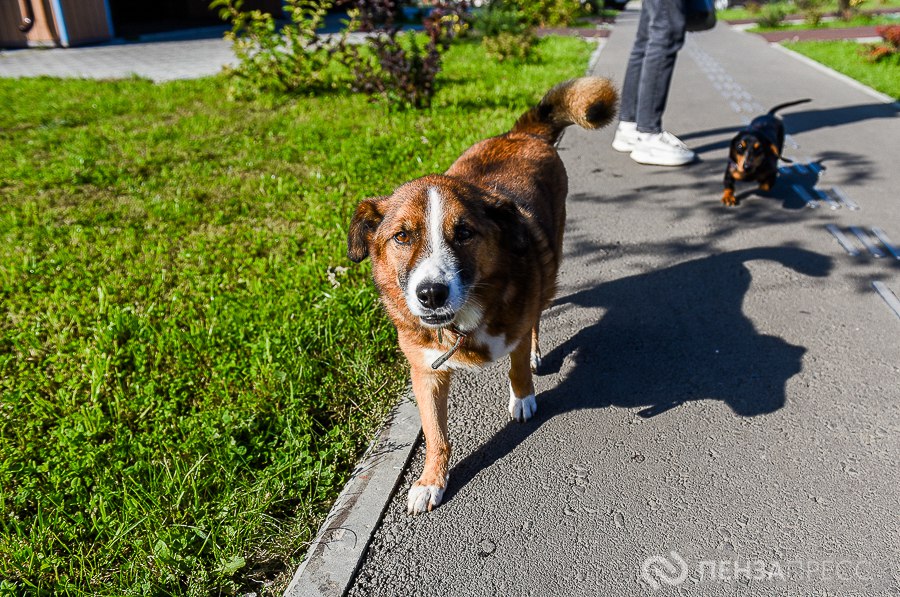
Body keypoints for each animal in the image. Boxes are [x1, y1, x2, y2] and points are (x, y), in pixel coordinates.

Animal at [346, 77, 620, 512]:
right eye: (401, 236)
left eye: (464, 233)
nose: (431, 294)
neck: (465, 321)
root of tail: (519, 133)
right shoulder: (426, 371)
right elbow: (435, 433)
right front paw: (431, 479)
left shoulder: (517, 326)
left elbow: (517, 365)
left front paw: (523, 397)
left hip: (552, 259)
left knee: (539, 312)